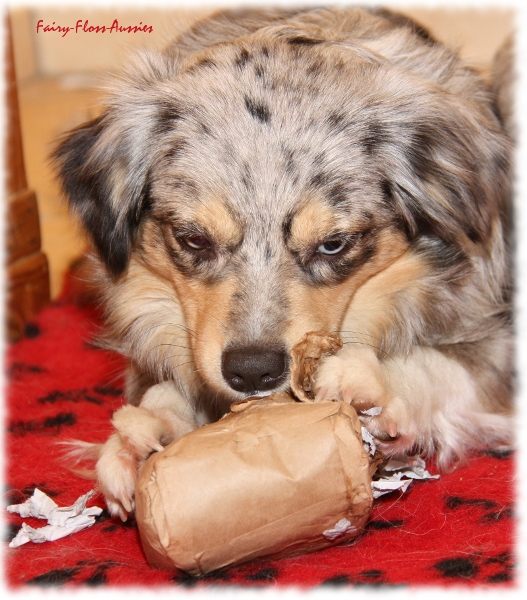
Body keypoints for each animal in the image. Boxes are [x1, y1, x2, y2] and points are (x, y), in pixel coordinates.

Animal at [54, 5, 516, 520]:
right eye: (194, 239)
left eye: (333, 245)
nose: (253, 371)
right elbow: (163, 391)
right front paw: (140, 438)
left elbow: (438, 364)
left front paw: (370, 380)